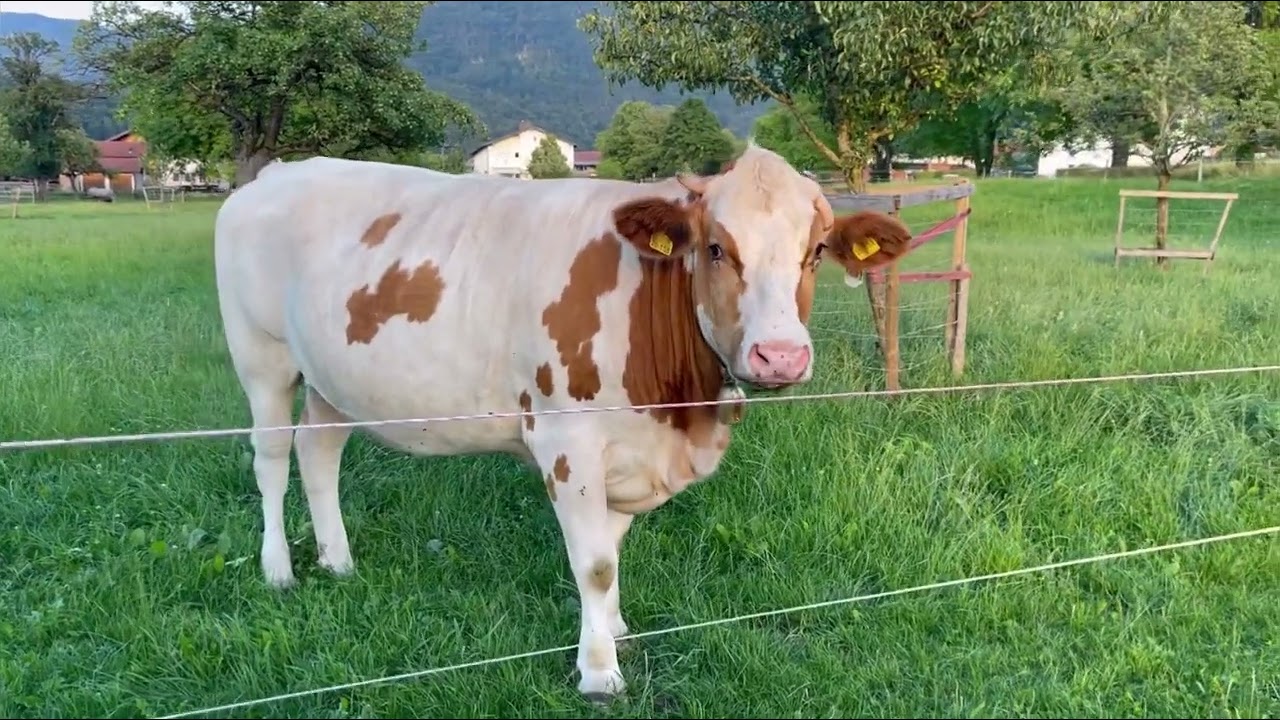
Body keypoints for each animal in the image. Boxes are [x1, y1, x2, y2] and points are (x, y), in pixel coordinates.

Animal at [212, 144, 912, 700]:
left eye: (815, 253)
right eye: (716, 248)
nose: (781, 356)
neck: (676, 413)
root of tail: (278, 172)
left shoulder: (628, 452)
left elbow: (611, 550)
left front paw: (614, 630)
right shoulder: (566, 439)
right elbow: (594, 564)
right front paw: (599, 673)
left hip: (331, 377)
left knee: (319, 451)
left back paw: (336, 561)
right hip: (261, 357)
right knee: (271, 458)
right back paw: (279, 569)